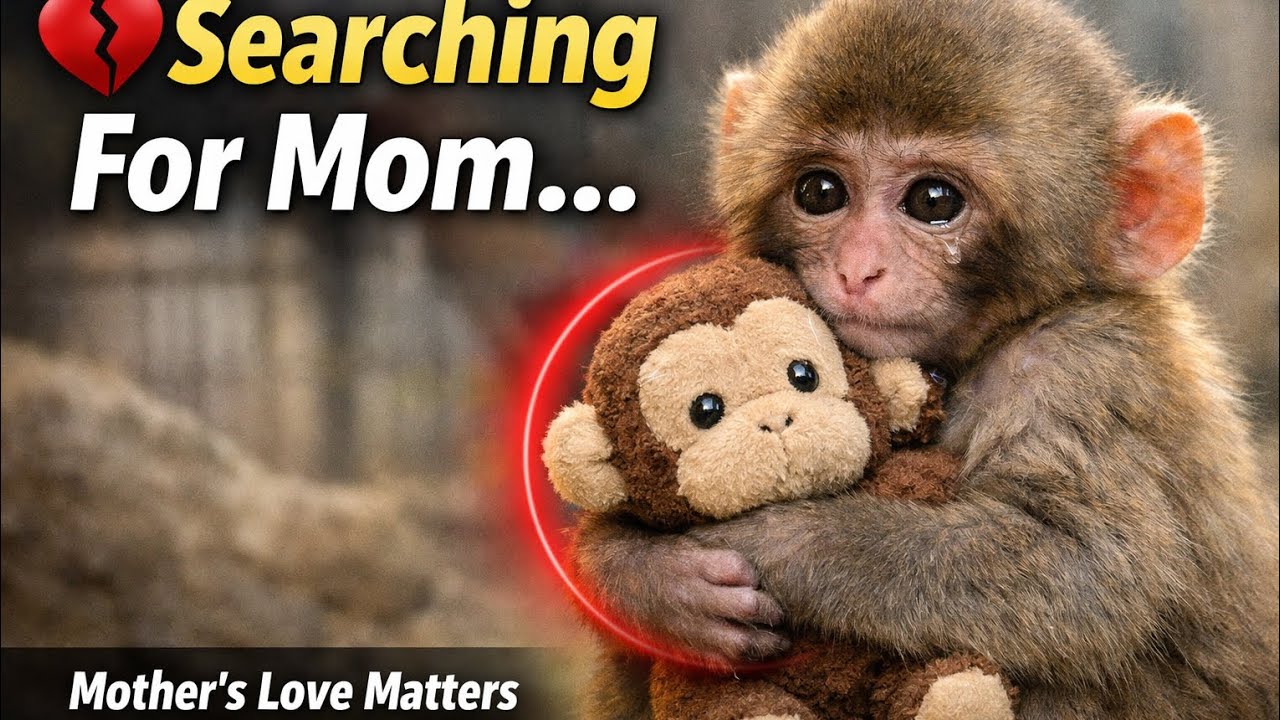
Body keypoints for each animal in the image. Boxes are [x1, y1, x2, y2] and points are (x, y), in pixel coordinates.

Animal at [572, 1, 1280, 718]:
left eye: (934, 201)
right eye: (820, 191)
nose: (857, 269)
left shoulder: (1083, 365)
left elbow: (1093, 572)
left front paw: (766, 543)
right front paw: (649, 578)